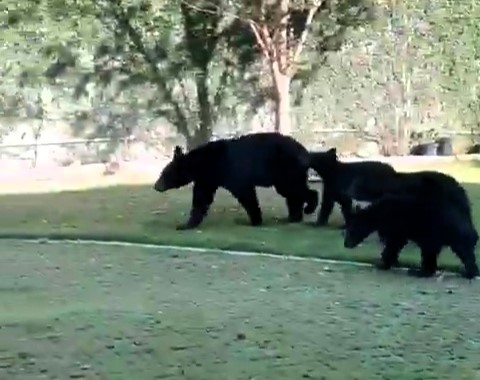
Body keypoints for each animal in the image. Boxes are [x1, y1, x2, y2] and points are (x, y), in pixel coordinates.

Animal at [154, 132, 318, 230]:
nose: (156, 186)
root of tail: (306, 152)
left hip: (286, 169)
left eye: (164, 173)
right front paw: (187, 224)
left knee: (294, 189)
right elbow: (201, 198)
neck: (202, 163)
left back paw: (309, 207)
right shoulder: (207, 179)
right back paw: (292, 217)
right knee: (292, 194)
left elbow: (246, 193)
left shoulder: (230, 172)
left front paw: (255, 220)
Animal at [344, 177, 478, 280]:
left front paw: (382, 263)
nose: (346, 244)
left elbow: (393, 243)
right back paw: (470, 271)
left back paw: (421, 272)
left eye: (351, 230)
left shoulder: (395, 223)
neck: (379, 213)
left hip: (436, 223)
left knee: (432, 249)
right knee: (462, 248)